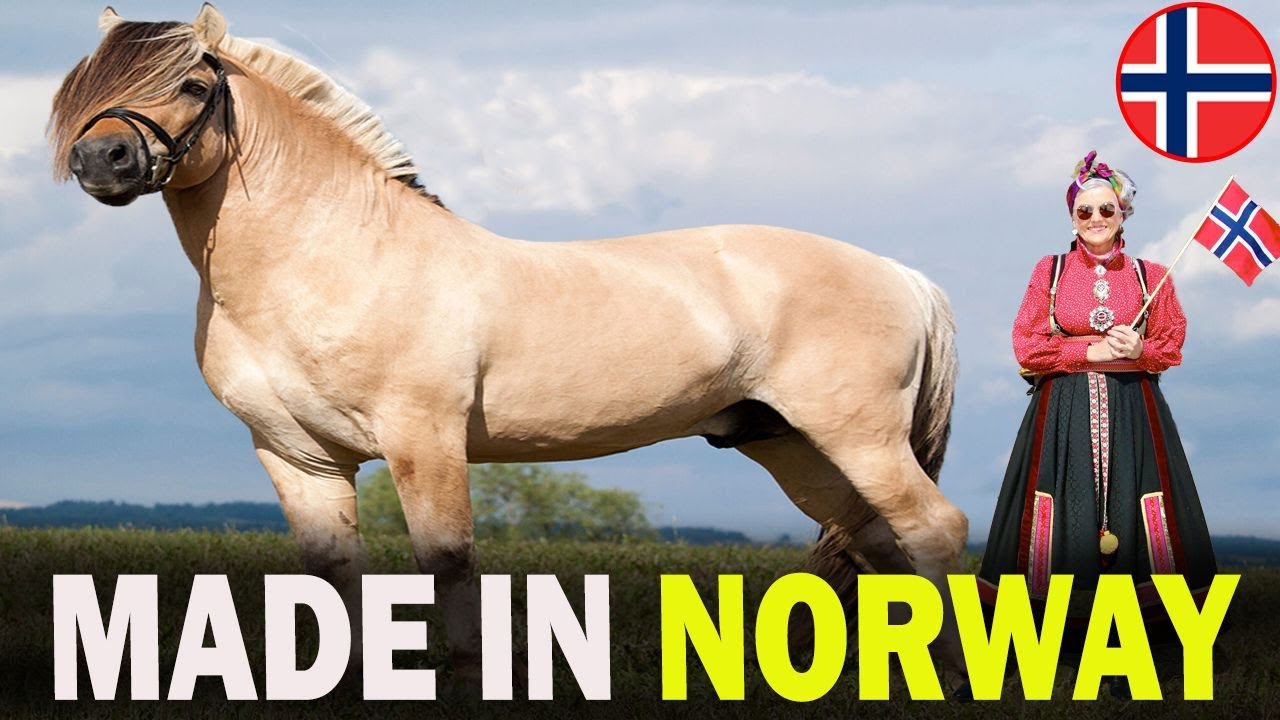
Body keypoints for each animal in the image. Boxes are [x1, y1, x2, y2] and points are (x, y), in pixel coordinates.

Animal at [50, 4, 969, 686]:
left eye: (192, 80)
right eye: (90, 82)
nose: (102, 158)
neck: (333, 255)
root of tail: (903, 275)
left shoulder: (423, 439)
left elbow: (448, 559)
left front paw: (463, 675)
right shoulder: (297, 456)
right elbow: (332, 575)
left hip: (857, 434)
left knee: (933, 529)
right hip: (790, 446)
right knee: (879, 540)